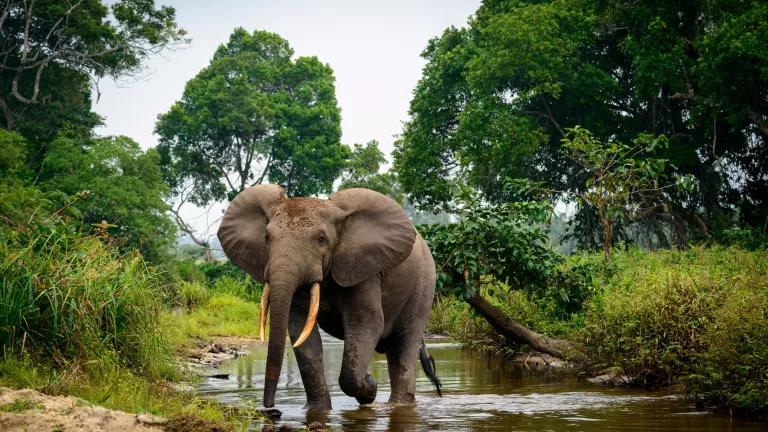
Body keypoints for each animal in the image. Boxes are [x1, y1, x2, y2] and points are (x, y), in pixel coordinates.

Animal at [217, 184, 442, 410]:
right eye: (266, 238)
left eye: (321, 239)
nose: (269, 406)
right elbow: (301, 330)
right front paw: (317, 410)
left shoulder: (364, 268)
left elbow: (366, 323)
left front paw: (370, 388)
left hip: (424, 284)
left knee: (405, 342)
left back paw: (398, 405)